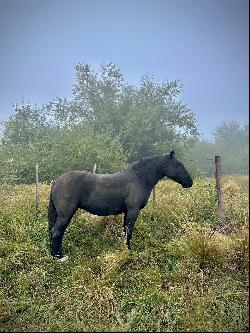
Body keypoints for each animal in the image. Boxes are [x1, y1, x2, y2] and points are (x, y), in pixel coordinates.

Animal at [48, 150, 193, 256]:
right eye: (179, 165)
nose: (190, 181)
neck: (139, 178)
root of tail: (56, 181)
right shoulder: (133, 211)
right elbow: (129, 231)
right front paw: (129, 251)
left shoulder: (127, 212)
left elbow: (125, 230)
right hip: (66, 214)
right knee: (56, 232)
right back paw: (58, 257)